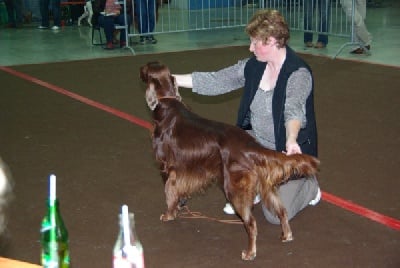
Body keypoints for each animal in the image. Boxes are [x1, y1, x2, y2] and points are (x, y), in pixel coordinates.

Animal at [139, 61, 320, 260]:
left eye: (146, 68)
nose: (140, 68)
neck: (167, 101)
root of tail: (250, 145)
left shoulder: (166, 167)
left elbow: (169, 193)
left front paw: (169, 215)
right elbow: (178, 192)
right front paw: (180, 206)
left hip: (233, 186)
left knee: (251, 223)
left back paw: (250, 252)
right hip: (266, 187)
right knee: (281, 210)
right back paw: (286, 235)